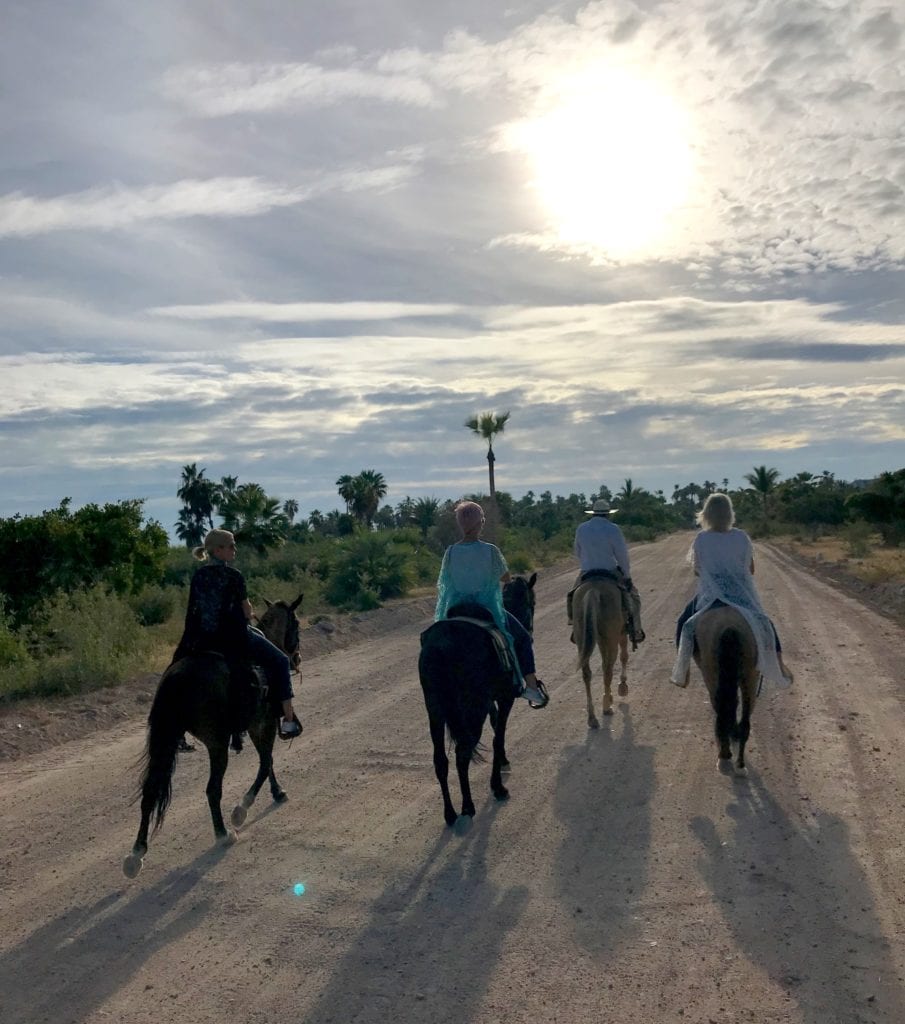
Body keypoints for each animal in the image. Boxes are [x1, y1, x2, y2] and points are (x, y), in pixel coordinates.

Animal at [121, 598, 305, 876]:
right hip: (216, 744)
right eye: (296, 624)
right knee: (212, 789)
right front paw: (242, 809)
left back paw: (136, 854)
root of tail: (178, 678)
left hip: (165, 739)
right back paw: (223, 834)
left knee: (150, 790)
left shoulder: (257, 725)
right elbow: (266, 763)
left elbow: (268, 762)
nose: (297, 657)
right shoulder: (264, 723)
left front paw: (276, 792)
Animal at [419, 598, 515, 831]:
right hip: (473, 710)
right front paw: (498, 787)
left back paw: (450, 813)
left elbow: (496, 724)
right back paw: (468, 807)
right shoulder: (505, 697)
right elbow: (498, 735)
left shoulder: (490, 701)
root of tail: (441, 648)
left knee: (440, 760)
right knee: (462, 755)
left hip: (435, 712)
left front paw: (503, 761)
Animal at [573, 577, 630, 729]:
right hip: (612, 637)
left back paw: (592, 718)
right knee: (608, 668)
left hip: (582, 636)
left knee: (587, 673)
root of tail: (594, 590)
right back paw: (606, 707)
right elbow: (624, 656)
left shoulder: (599, 639)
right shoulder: (621, 634)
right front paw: (622, 686)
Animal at [696, 598, 761, 774]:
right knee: (744, 719)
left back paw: (724, 757)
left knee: (722, 710)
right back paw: (740, 764)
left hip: (712, 674)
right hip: (750, 677)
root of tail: (730, 626)